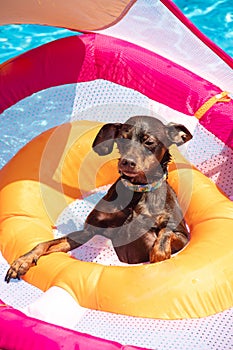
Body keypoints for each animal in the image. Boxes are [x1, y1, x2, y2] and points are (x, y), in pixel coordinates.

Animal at [5, 115, 193, 282]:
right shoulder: (88, 231)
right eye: (122, 140)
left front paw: (159, 253)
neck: (137, 191)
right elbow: (45, 244)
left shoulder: (183, 236)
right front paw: (23, 261)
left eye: (149, 142)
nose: (127, 162)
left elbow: (165, 231)